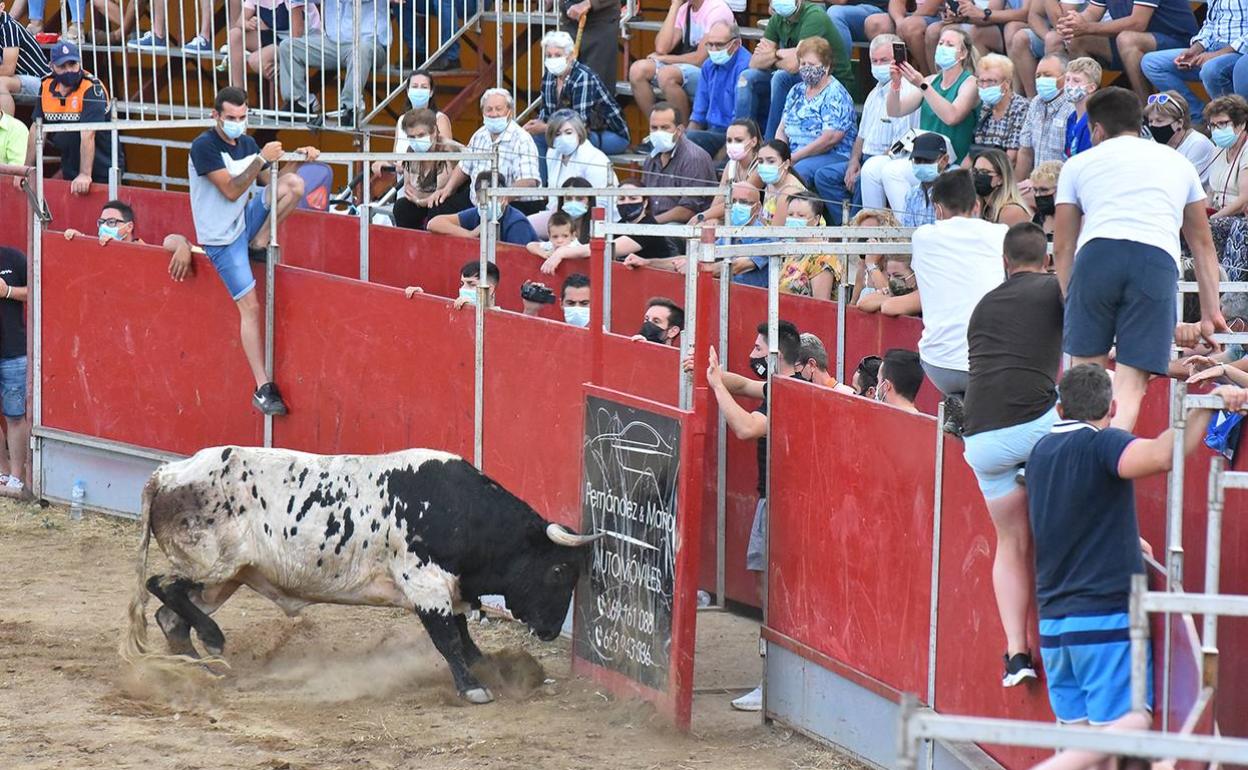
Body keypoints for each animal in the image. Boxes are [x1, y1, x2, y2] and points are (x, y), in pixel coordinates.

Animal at [122, 444, 604, 703]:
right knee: (161, 586)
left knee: (171, 614)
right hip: (212, 565)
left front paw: (492, 672)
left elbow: (466, 639)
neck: (459, 511)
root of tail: (167, 473)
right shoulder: (426, 587)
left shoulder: (451, 590)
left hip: (226, 577)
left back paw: (200, 666)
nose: (549, 631)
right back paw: (212, 641)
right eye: (559, 569)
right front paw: (473, 688)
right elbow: (449, 641)